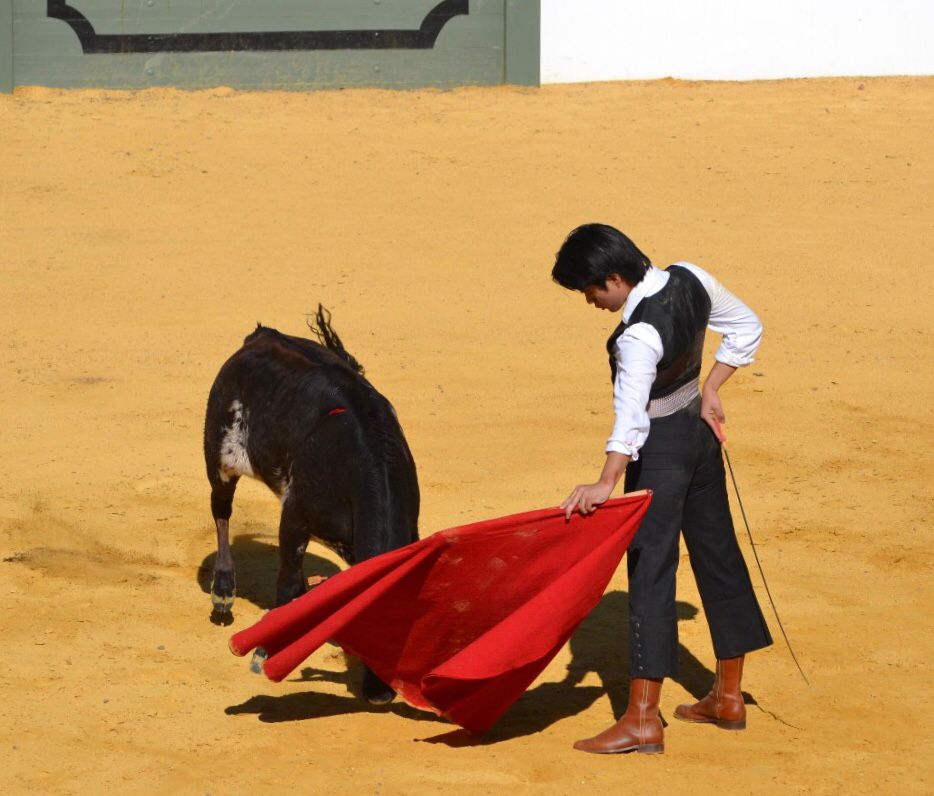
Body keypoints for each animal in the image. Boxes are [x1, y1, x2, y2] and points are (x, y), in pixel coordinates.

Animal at [203, 306, 420, 704]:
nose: (379, 695)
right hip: (219, 457)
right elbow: (288, 584)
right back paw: (223, 591)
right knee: (221, 511)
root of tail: (264, 335)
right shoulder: (295, 518)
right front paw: (262, 653)